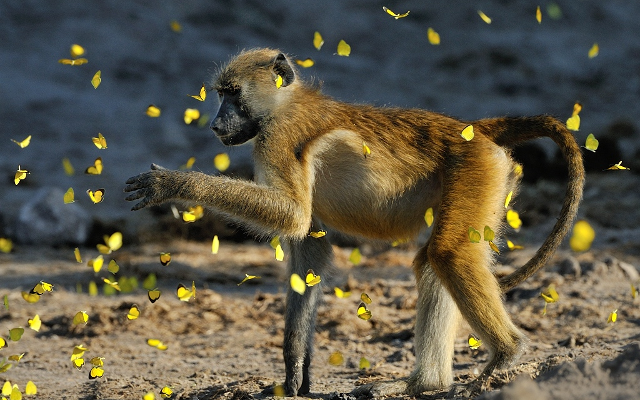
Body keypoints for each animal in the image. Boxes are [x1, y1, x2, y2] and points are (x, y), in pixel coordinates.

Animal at [124, 48, 584, 397]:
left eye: (233, 93)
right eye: (220, 94)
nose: (216, 124)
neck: (284, 104)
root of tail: (471, 128)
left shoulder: (277, 138)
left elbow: (293, 215)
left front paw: (172, 183)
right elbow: (308, 245)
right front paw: (294, 372)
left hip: (475, 167)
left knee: (448, 254)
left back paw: (503, 356)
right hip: (485, 172)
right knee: (433, 261)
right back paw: (423, 384)